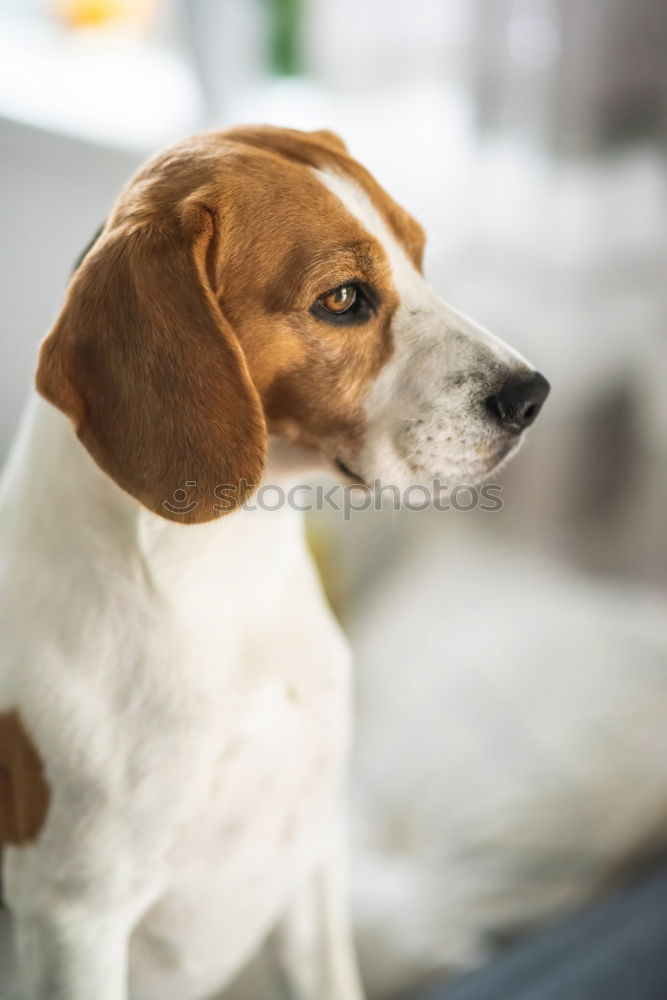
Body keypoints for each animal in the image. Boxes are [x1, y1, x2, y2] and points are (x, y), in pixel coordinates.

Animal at [0, 127, 548, 1000]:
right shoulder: (75, 925)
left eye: (418, 254)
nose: (532, 396)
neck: (223, 578)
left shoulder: (311, 852)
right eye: (343, 299)